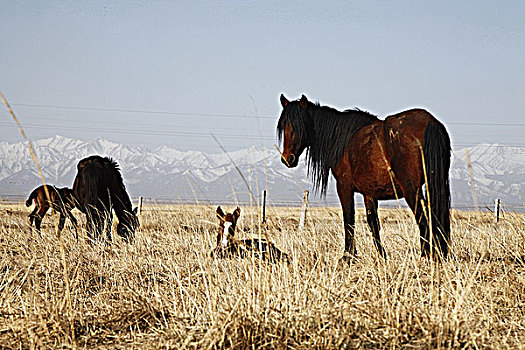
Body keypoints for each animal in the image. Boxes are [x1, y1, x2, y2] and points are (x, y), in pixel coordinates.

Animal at [278, 94, 450, 262]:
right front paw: (381, 256)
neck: (342, 141)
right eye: (284, 127)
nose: (287, 158)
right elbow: (373, 223)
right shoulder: (370, 192)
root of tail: (429, 122)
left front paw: (348, 256)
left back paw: (427, 254)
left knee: (423, 216)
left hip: (411, 189)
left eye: (299, 125)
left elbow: (349, 219)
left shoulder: (344, 187)